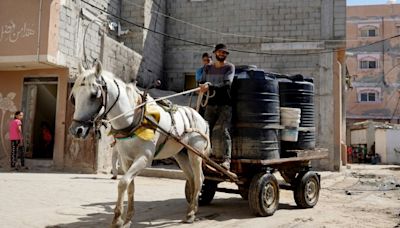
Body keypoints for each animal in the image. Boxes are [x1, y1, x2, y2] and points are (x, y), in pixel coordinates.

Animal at [70, 61, 211, 227]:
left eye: (94, 95)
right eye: (74, 96)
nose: (76, 130)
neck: (133, 119)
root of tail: (199, 116)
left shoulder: (144, 158)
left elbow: (123, 183)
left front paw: (117, 219)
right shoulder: (126, 159)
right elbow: (130, 186)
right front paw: (128, 218)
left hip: (195, 153)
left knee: (199, 178)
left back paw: (191, 213)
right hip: (180, 154)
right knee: (191, 178)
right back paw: (191, 207)